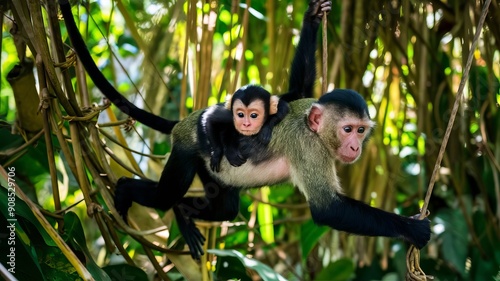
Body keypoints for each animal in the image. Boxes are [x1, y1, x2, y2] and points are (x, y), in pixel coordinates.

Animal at [58, 0, 430, 260]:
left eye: (362, 131)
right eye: (348, 129)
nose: (356, 147)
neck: (315, 131)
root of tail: (185, 123)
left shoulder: (302, 106)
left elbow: (291, 93)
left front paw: (312, 17)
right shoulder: (309, 147)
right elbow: (327, 209)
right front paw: (412, 228)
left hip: (210, 168)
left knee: (224, 207)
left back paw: (184, 214)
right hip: (186, 148)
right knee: (166, 195)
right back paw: (129, 192)